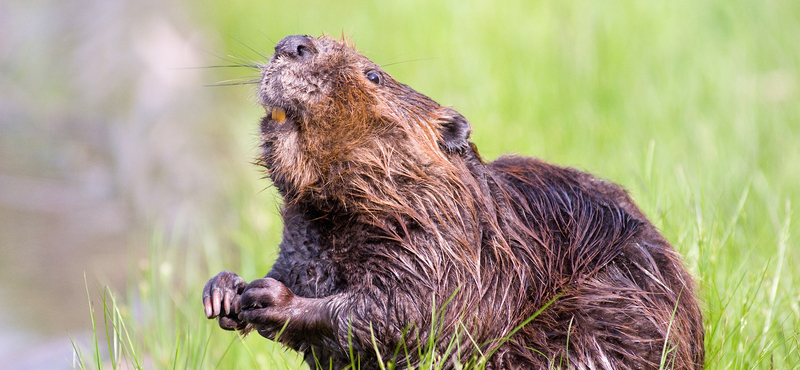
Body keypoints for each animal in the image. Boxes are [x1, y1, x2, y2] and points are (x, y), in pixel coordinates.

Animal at [203, 35, 704, 370]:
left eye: (373, 75)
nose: (293, 43)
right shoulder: (305, 239)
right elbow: (296, 269)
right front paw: (224, 290)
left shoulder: (449, 247)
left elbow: (407, 311)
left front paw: (269, 297)